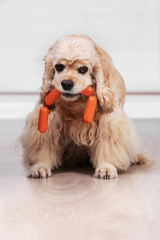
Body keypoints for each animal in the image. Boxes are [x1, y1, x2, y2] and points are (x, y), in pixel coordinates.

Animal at [20, 34, 151, 179]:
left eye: (83, 69)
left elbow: (108, 145)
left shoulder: (109, 121)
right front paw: (41, 166)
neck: (78, 103)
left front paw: (106, 168)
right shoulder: (49, 118)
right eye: (59, 67)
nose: (66, 83)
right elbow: (45, 143)